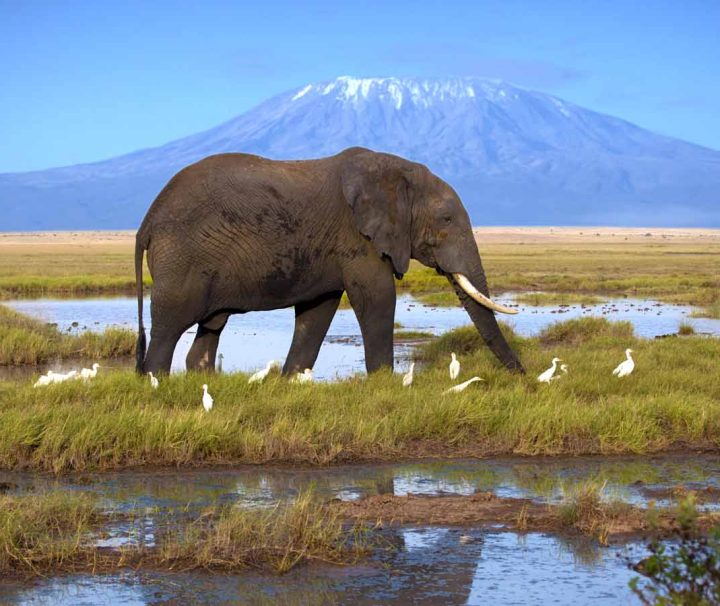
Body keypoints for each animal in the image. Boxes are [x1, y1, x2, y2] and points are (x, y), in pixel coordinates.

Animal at [135, 147, 524, 376]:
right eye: (446, 219)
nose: (523, 378)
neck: (396, 171)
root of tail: (147, 221)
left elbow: (317, 311)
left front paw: (290, 381)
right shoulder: (357, 238)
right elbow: (377, 298)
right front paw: (383, 384)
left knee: (211, 327)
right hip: (182, 257)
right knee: (169, 327)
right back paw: (157, 383)